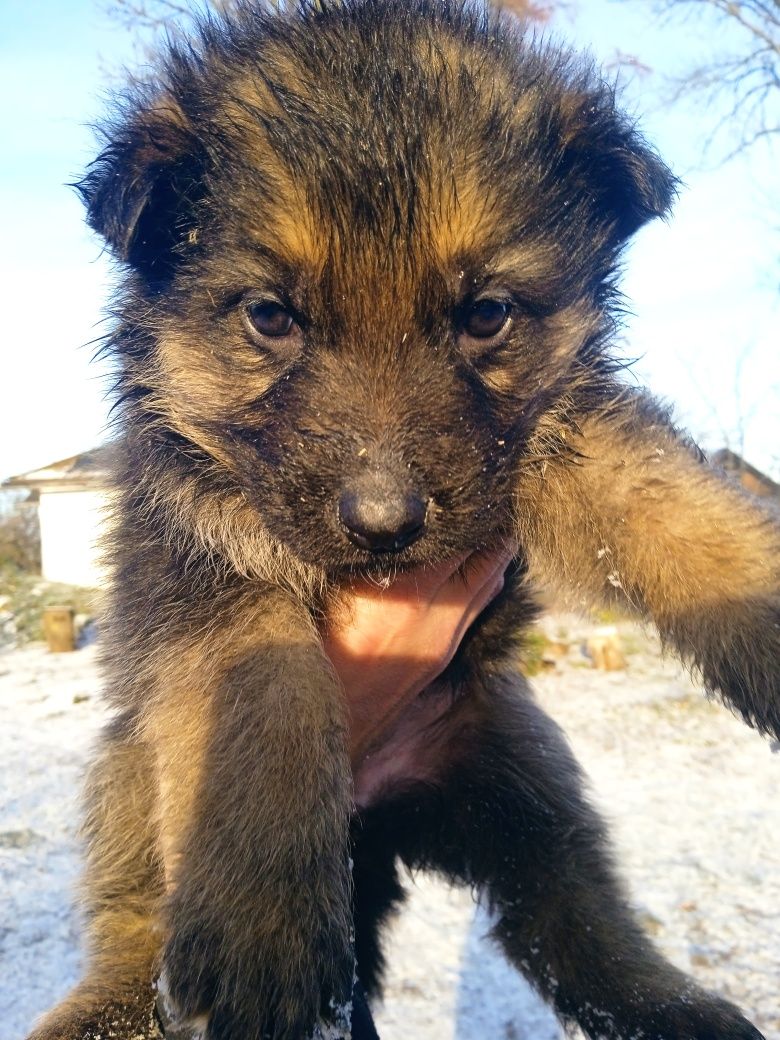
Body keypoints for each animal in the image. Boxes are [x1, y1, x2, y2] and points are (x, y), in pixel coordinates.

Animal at [27, 2, 777, 1040]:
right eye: (270, 316)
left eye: (488, 313)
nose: (385, 524)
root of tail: (374, 827)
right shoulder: (184, 551)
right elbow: (264, 682)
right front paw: (262, 924)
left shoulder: (562, 436)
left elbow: (676, 510)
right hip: (130, 771)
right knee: (135, 920)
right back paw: (105, 1007)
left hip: (517, 781)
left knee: (570, 917)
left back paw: (671, 1006)